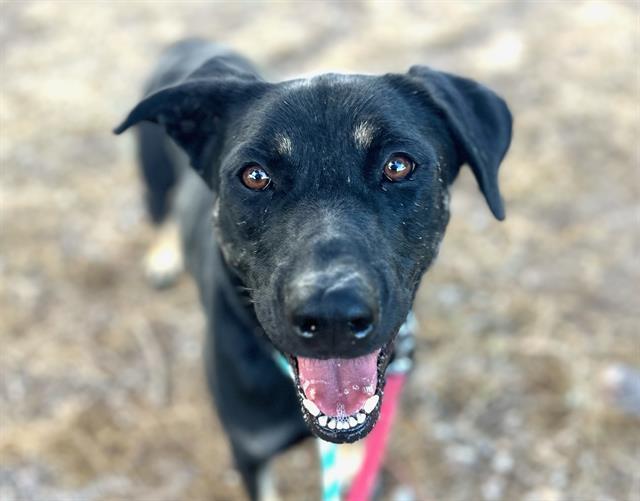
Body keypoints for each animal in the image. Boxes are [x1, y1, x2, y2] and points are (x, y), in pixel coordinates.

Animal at [115, 38, 512, 496]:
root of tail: (191, 41)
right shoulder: (249, 450)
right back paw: (162, 257)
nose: (332, 318)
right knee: (159, 212)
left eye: (398, 166)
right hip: (153, 173)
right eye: (254, 176)